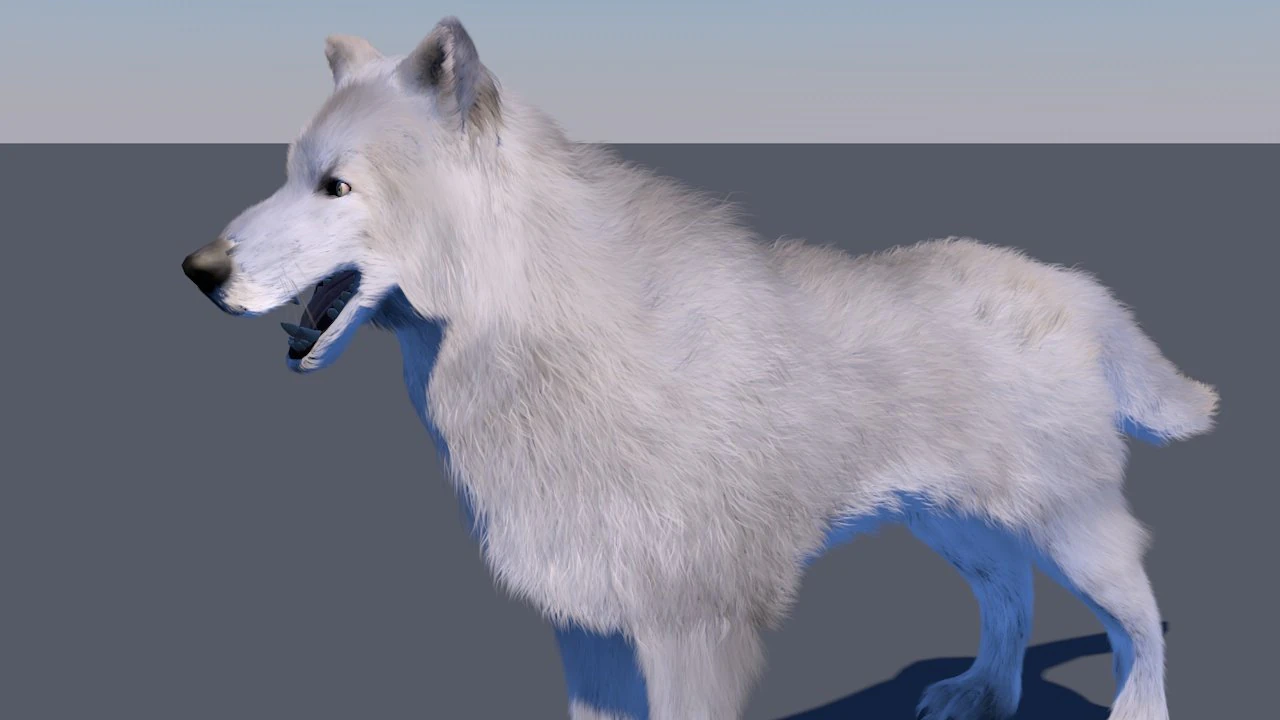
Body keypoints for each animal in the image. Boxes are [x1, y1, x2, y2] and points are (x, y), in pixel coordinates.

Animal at [180, 17, 1218, 720]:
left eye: (336, 186)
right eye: (287, 174)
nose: (200, 270)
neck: (545, 347)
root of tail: (1076, 289)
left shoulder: (695, 632)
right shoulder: (591, 625)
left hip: (1068, 528)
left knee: (1140, 613)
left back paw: (1135, 709)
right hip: (958, 524)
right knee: (1010, 598)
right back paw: (980, 694)